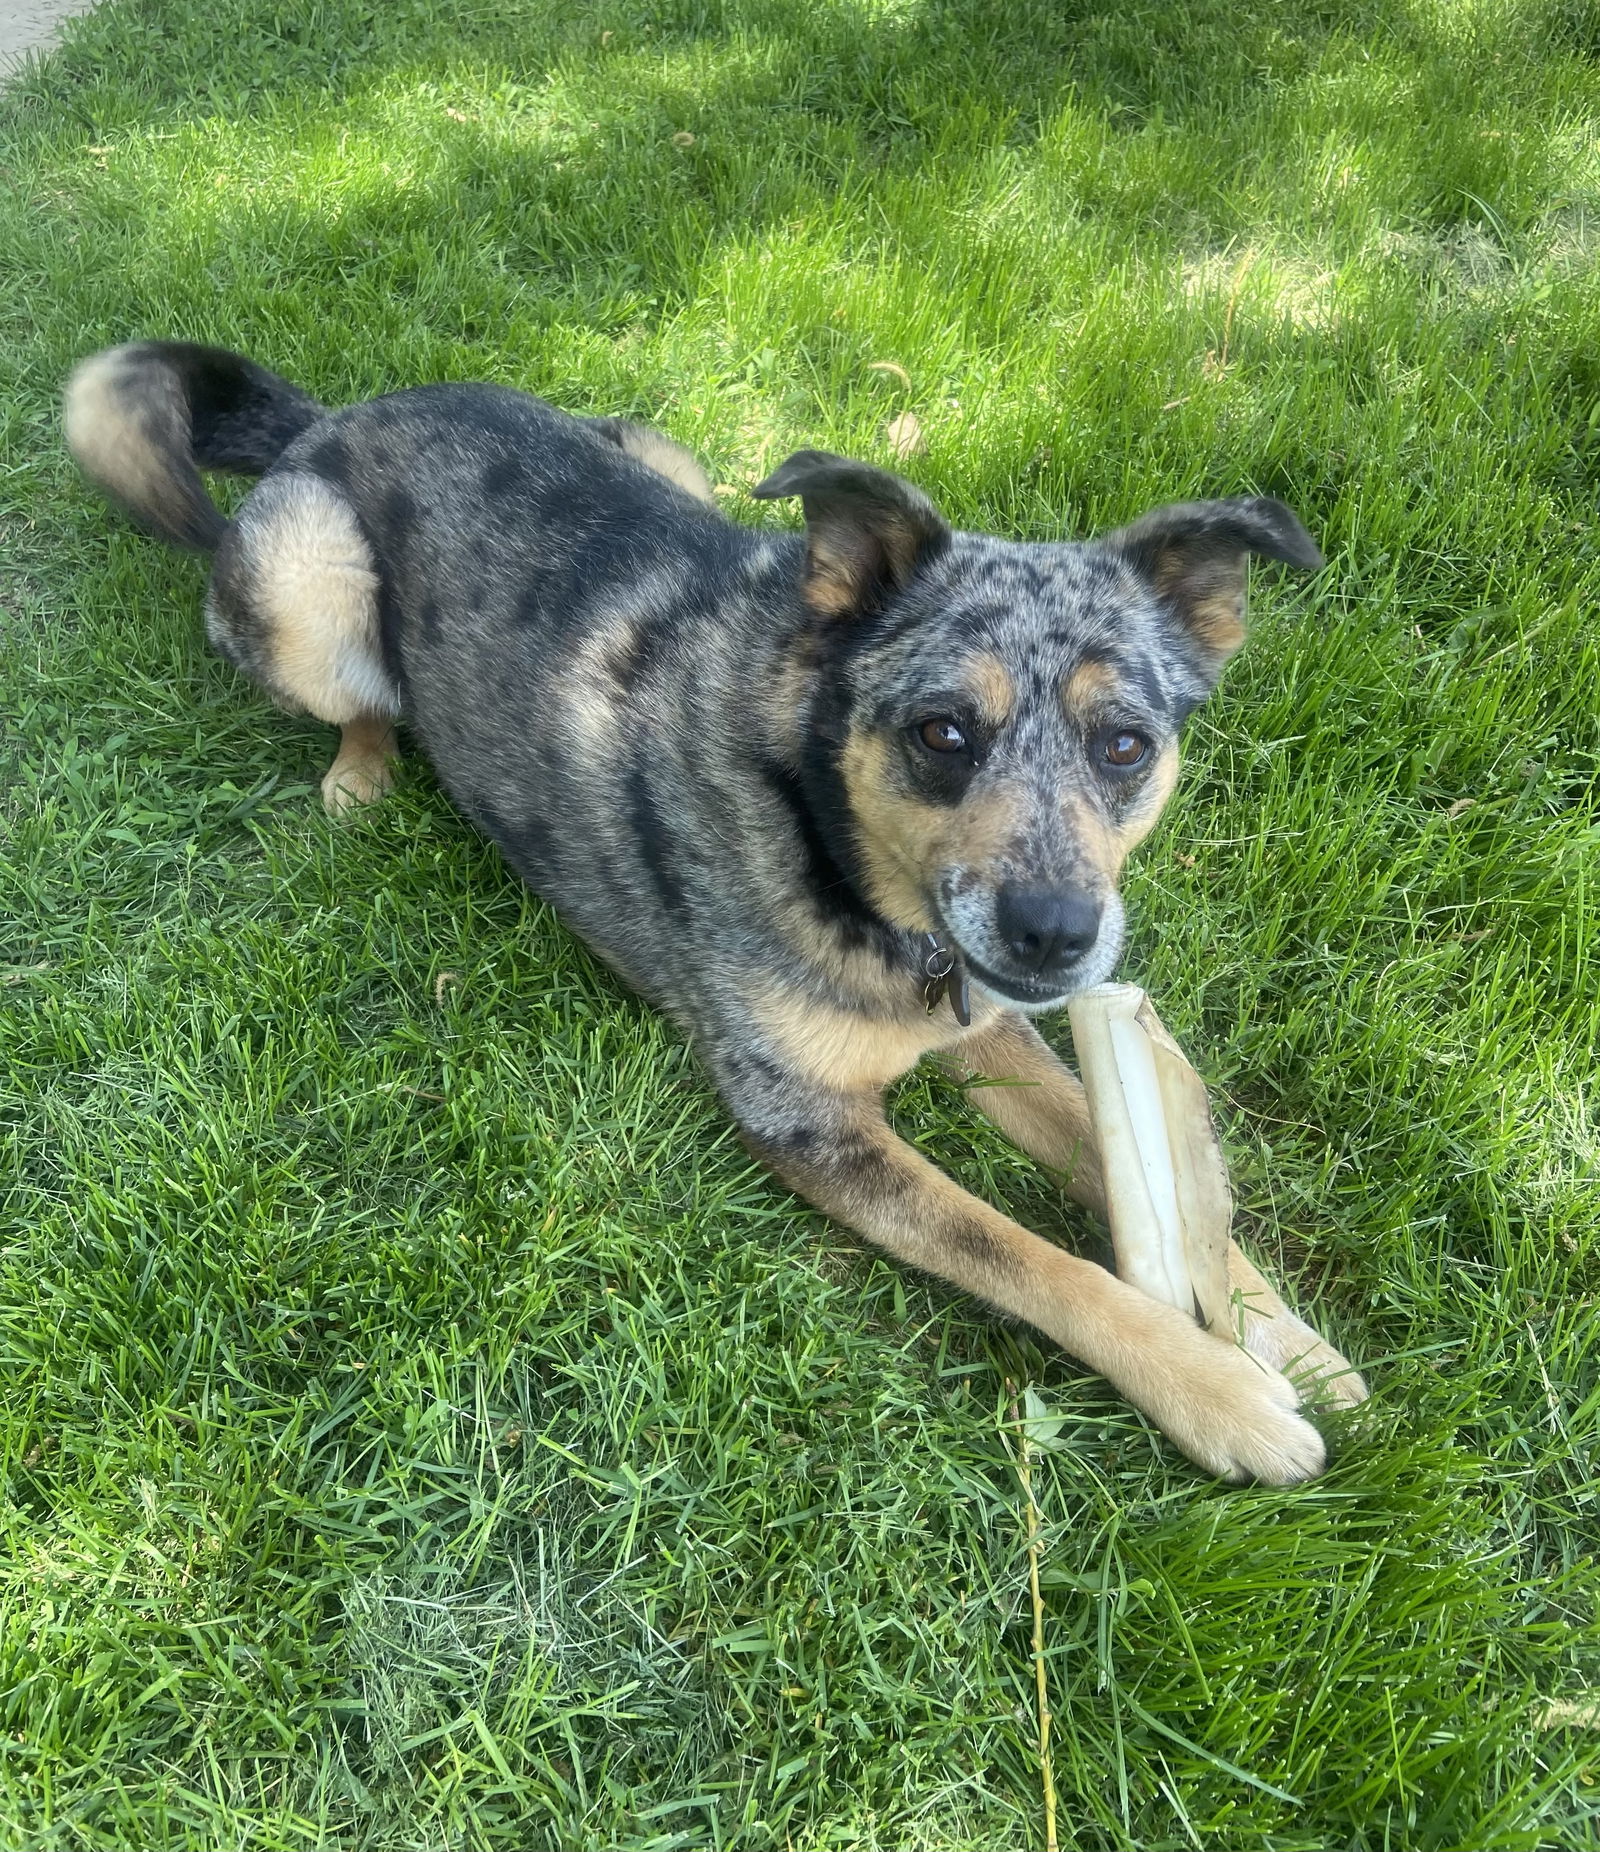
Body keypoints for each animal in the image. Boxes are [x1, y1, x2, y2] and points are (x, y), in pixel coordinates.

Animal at [62, 340, 1362, 1481]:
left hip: (661, 452)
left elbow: (1119, 1156)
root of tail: (333, 418)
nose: (1054, 932)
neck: (833, 844)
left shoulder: (987, 1024)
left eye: (1124, 745)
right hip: (309, 591)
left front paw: (1277, 1328)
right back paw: (362, 775)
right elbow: (1039, 1261)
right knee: (363, 699)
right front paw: (1222, 1392)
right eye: (943, 732)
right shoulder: (805, 1121)